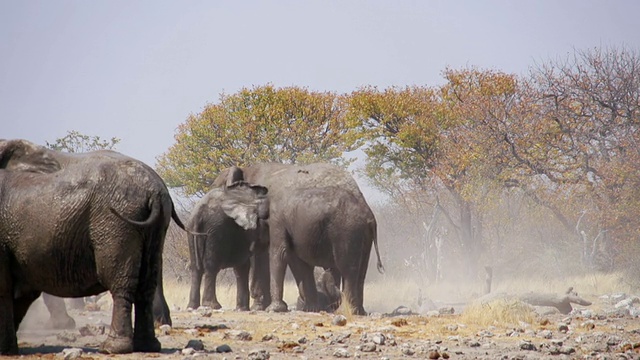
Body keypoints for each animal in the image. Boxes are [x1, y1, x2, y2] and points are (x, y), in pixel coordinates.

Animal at [0, 139, 185, 354]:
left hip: (116, 222)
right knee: (146, 283)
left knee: (120, 281)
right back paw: (148, 346)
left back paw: (112, 348)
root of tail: (155, 191)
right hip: (155, 226)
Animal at [188, 170, 272, 310]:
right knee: (211, 266)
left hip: (191, 230)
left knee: (196, 268)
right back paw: (213, 305)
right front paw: (243, 309)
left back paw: (192, 306)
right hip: (215, 230)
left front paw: (242, 309)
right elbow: (243, 264)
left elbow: (241, 267)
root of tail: (198, 215)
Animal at [215, 163, 384, 316]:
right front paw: (309, 308)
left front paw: (270, 309)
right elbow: (292, 259)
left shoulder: (276, 220)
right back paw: (353, 310)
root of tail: (369, 213)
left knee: (347, 268)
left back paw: (341, 310)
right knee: (359, 270)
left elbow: (276, 254)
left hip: (345, 230)